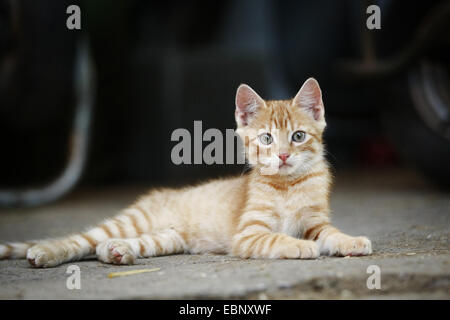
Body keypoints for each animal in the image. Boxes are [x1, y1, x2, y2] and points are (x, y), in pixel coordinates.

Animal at [0, 78, 370, 268]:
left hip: (166, 237)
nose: (281, 155)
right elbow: (276, 237)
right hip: (131, 221)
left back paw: (117, 251)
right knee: (80, 240)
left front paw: (350, 240)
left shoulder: (315, 223)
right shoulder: (249, 233)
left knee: (108, 244)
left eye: (298, 136)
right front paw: (299, 246)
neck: (287, 186)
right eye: (266, 138)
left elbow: (330, 233)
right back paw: (47, 253)